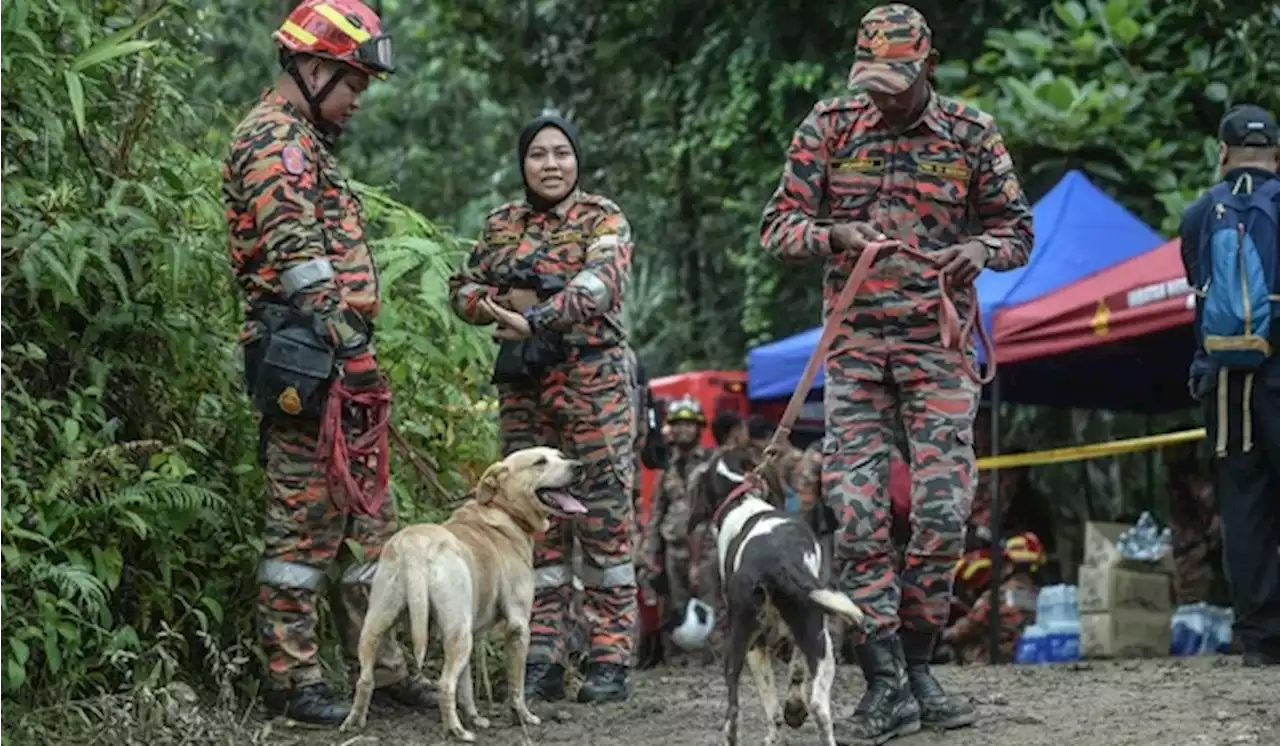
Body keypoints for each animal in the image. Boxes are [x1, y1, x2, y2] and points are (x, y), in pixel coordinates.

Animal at [335, 450, 586, 742]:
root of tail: (415, 545)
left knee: (365, 679)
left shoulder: (472, 632)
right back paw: (457, 730)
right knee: (445, 684)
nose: (579, 466)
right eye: (540, 462)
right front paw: (523, 717)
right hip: (457, 634)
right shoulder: (518, 627)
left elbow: (465, 687)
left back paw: (354, 723)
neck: (502, 511)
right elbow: (516, 687)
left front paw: (476, 718)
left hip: (378, 625)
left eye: (559, 456)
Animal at [701, 450, 870, 746]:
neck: (742, 498)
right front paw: (795, 709)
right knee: (819, 706)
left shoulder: (756, 645)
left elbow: (775, 702)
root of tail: (776, 562)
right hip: (819, 638)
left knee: (739, 714)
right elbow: (797, 673)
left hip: (742, 643)